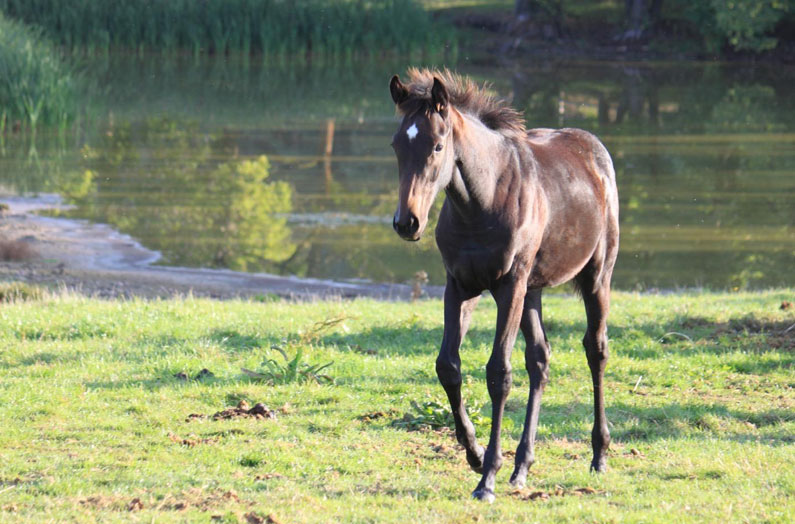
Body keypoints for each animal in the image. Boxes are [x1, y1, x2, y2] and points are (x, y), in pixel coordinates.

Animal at [388, 69, 619, 502]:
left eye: (438, 145)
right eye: (396, 145)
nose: (407, 222)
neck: (482, 200)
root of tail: (594, 148)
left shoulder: (509, 285)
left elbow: (499, 373)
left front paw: (487, 477)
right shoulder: (460, 285)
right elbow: (448, 366)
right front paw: (476, 454)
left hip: (595, 277)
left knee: (595, 350)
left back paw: (598, 455)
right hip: (532, 291)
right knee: (540, 359)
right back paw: (522, 466)